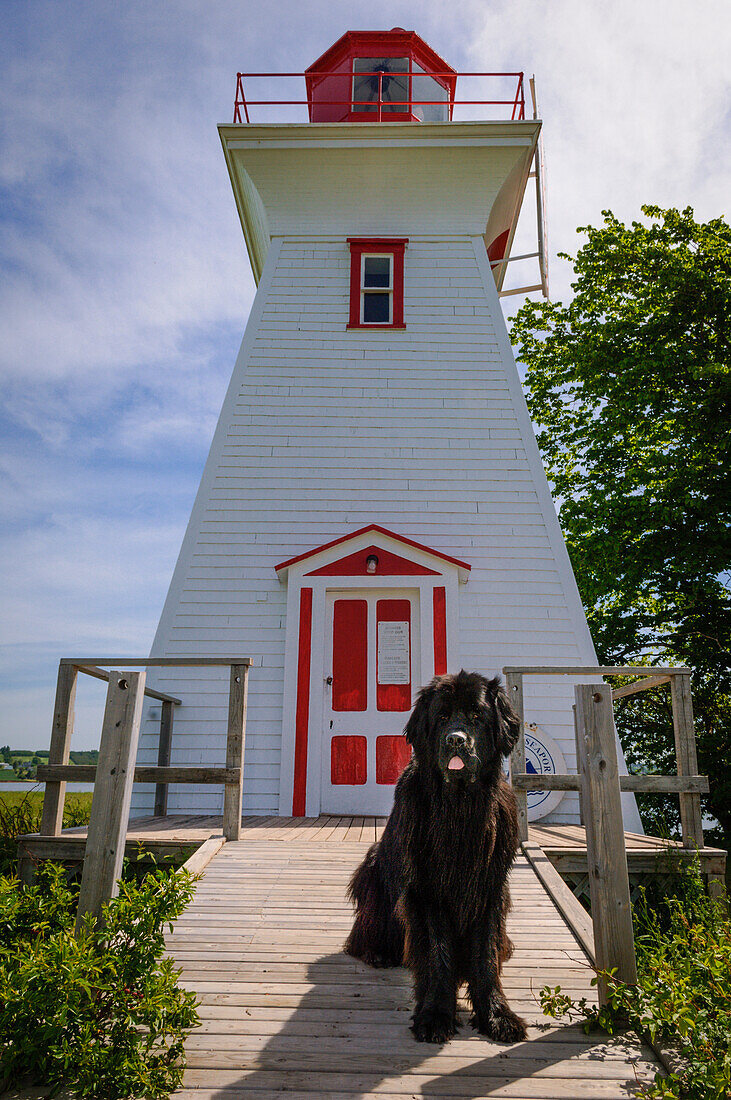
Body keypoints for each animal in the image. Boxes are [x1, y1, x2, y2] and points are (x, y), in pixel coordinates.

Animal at [342, 668, 525, 1038]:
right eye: (441, 716)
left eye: (477, 716)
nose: (456, 740)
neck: (459, 806)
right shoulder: (427, 888)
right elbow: (438, 954)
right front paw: (436, 1015)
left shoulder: (491, 887)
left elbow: (486, 955)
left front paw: (498, 1014)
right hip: (373, 871)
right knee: (364, 932)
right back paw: (377, 952)